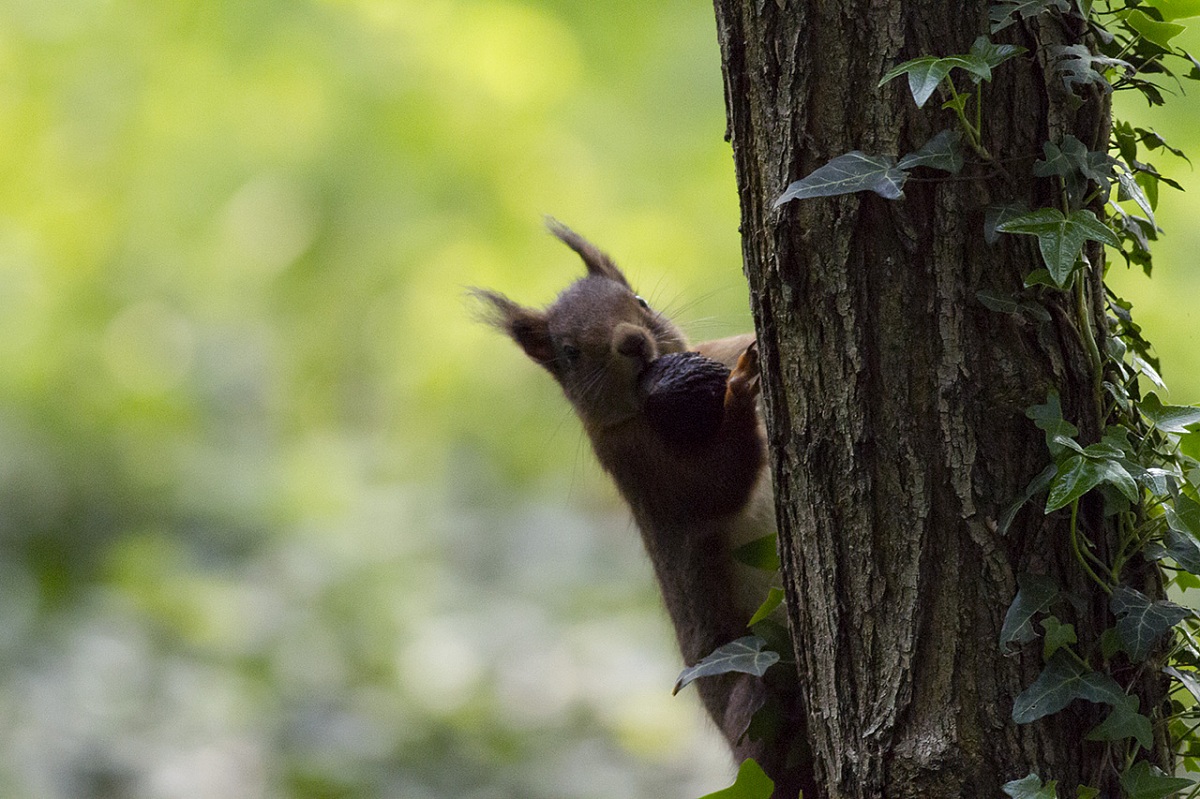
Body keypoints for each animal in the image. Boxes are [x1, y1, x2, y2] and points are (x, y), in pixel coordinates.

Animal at [473, 220, 813, 799]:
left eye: (641, 301)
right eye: (570, 352)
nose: (632, 341)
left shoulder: (715, 350)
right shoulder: (638, 467)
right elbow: (715, 486)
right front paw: (740, 391)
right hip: (758, 694)